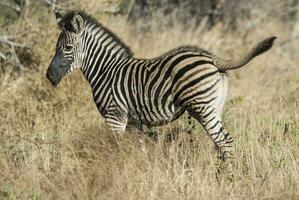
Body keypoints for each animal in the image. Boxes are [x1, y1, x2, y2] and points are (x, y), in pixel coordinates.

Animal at [45, 10, 278, 161]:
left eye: (67, 48)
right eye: (56, 47)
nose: (49, 76)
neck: (105, 70)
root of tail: (212, 58)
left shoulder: (114, 116)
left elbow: (115, 150)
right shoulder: (133, 121)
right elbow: (138, 151)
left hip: (203, 108)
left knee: (225, 143)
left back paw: (228, 179)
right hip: (215, 106)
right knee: (222, 143)